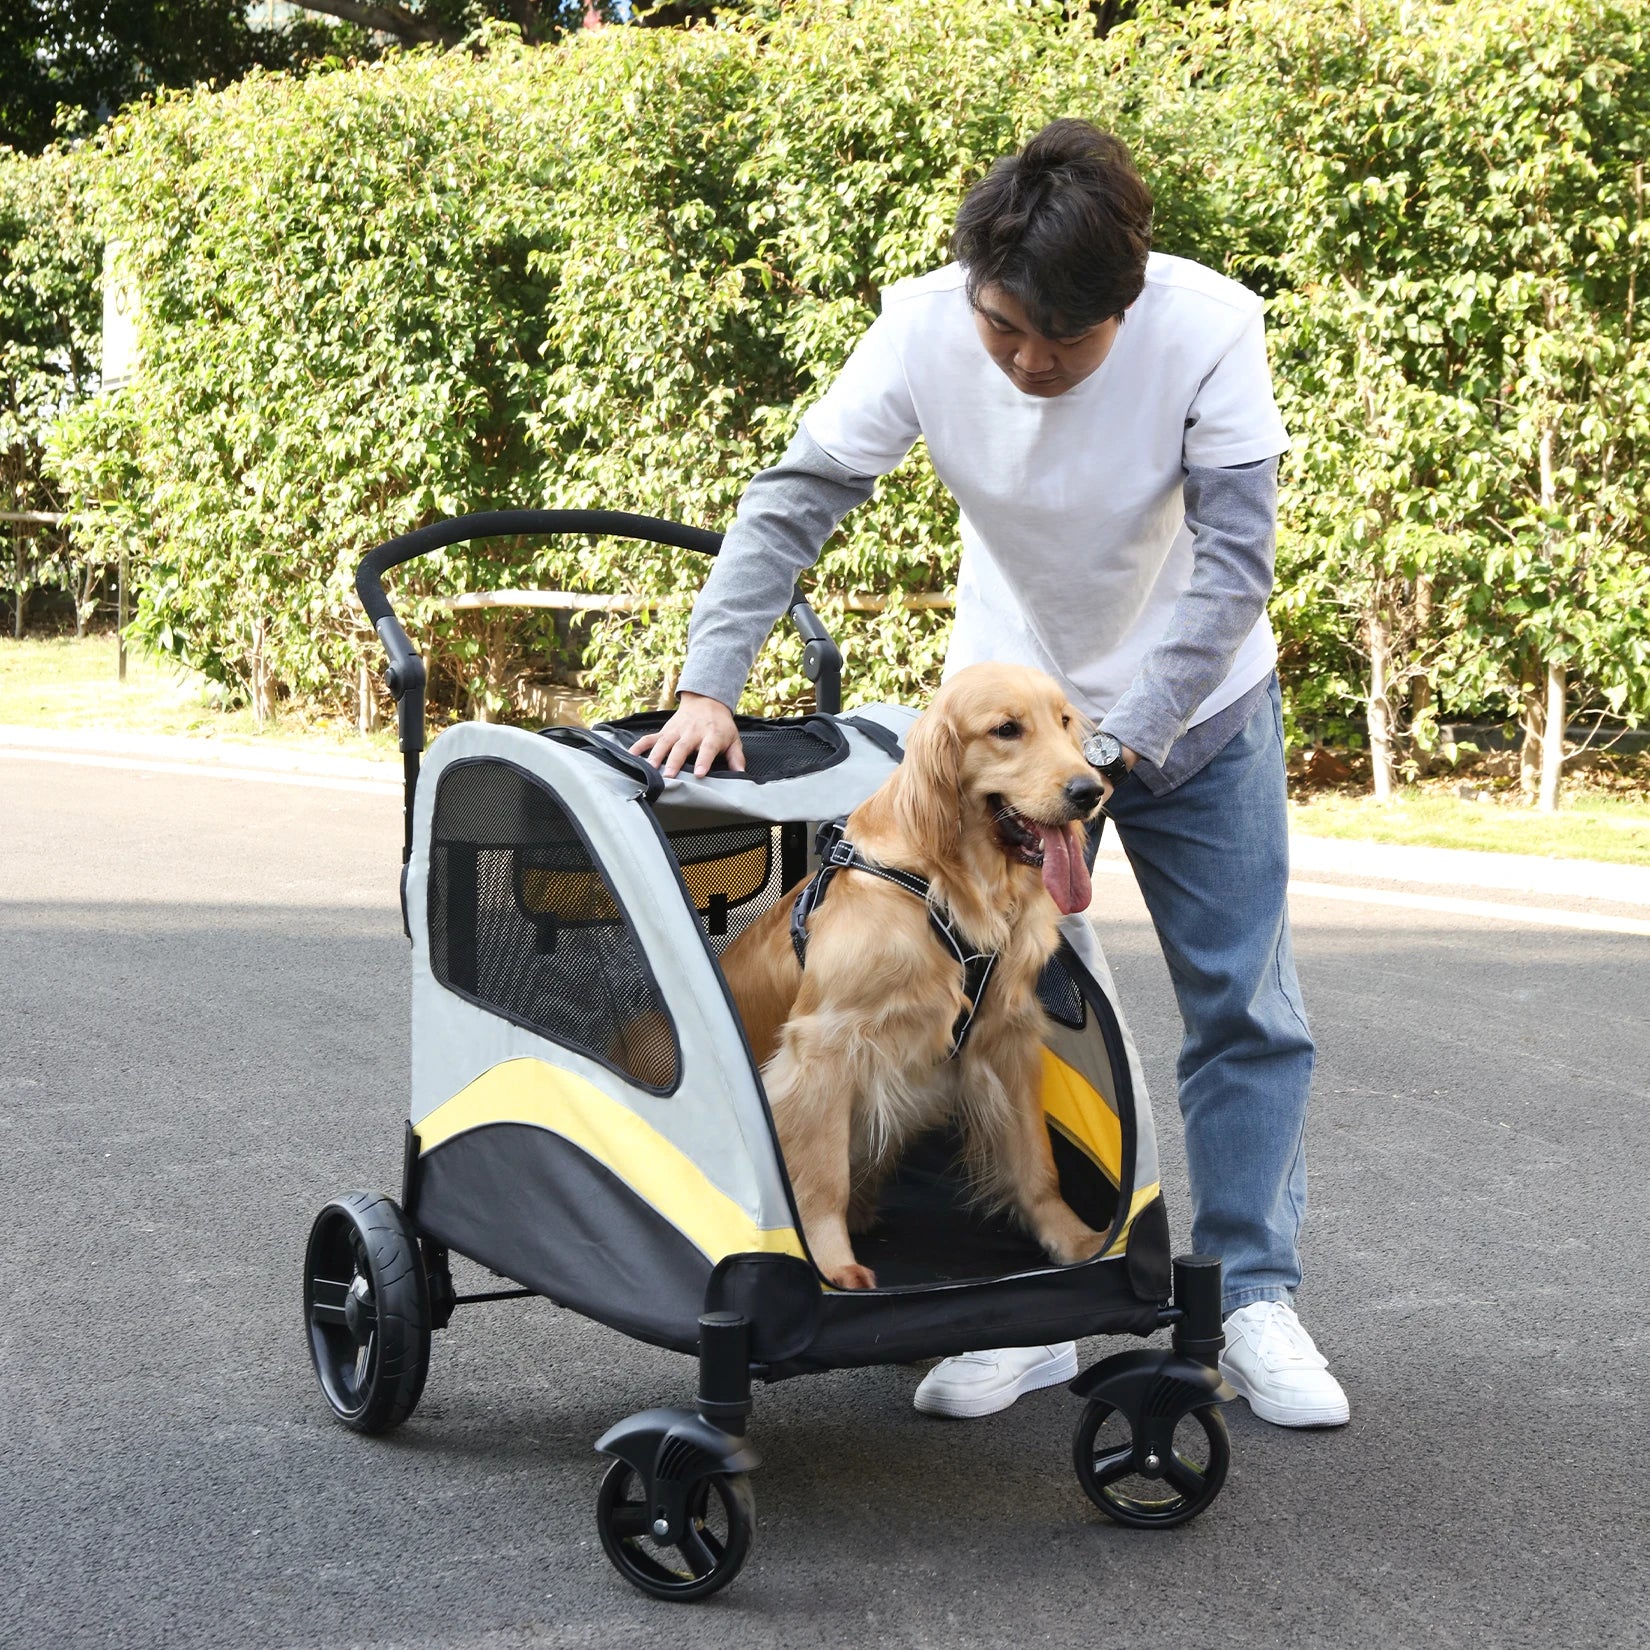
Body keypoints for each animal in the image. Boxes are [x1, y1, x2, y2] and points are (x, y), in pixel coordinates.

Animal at [726, 663, 1102, 1293]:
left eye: (1066, 721)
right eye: (1006, 729)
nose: (1090, 791)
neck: (942, 885)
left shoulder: (1007, 1035)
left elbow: (1036, 1160)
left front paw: (1076, 1239)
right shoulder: (823, 1047)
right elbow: (822, 1177)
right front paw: (832, 1266)